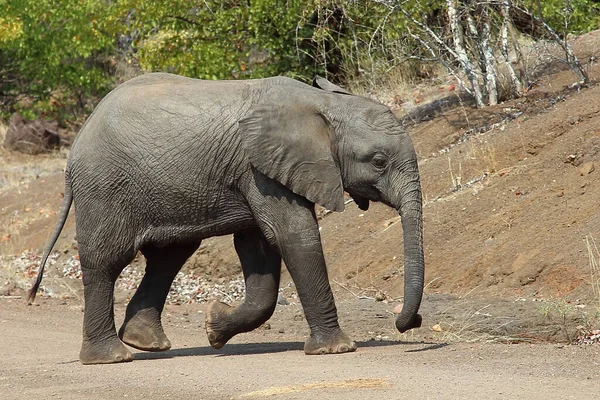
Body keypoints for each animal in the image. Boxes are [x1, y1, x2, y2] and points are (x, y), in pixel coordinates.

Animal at [27, 72, 422, 366]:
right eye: (379, 162)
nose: (408, 323)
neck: (324, 104)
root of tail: (76, 143)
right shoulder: (260, 169)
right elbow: (294, 236)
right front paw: (336, 349)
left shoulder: (258, 172)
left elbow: (260, 249)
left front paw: (213, 327)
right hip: (105, 187)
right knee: (106, 261)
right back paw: (112, 357)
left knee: (170, 255)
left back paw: (146, 343)